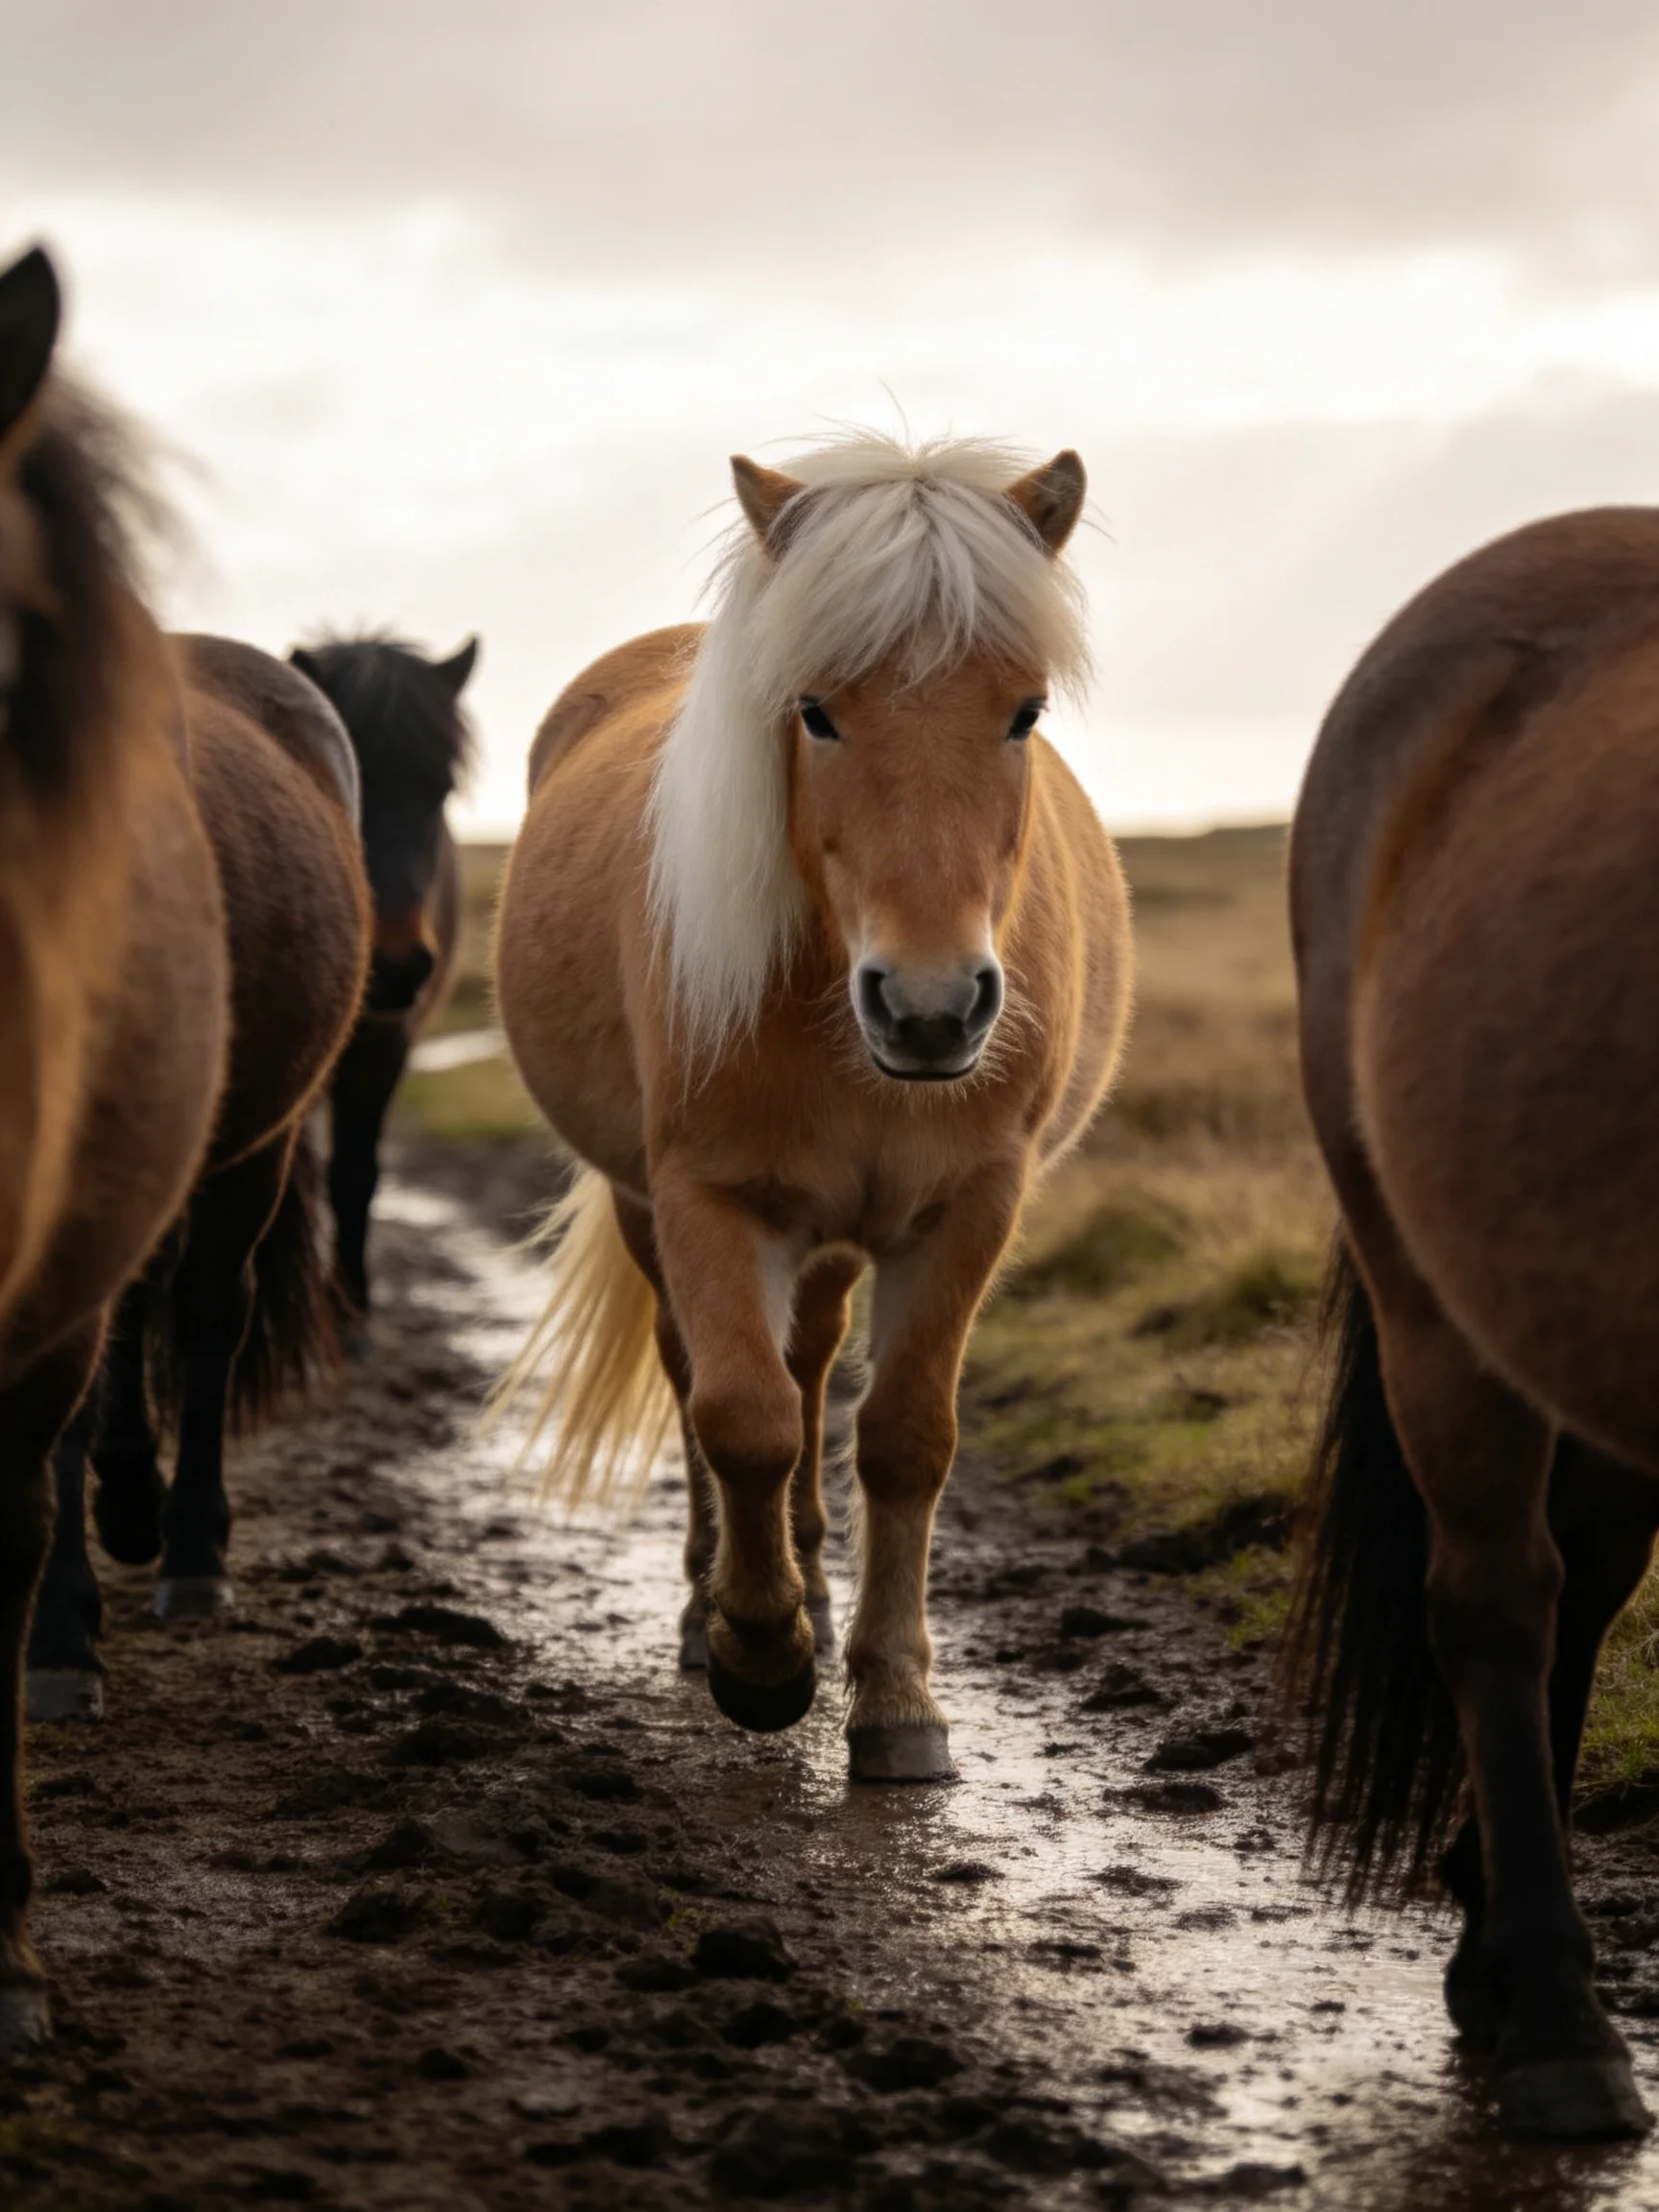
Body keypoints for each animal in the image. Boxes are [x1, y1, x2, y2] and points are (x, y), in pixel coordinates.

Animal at [492, 432, 1131, 1780]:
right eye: (816, 711)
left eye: (1025, 712)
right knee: (711, 1376)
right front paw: (759, 1655)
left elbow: (902, 1436)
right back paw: (719, 1605)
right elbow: (741, 1415)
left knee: (815, 1357)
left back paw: (817, 1591)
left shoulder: (967, 1209)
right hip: (657, 1211)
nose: (931, 1009)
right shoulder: (708, 1198)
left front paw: (896, 1701)